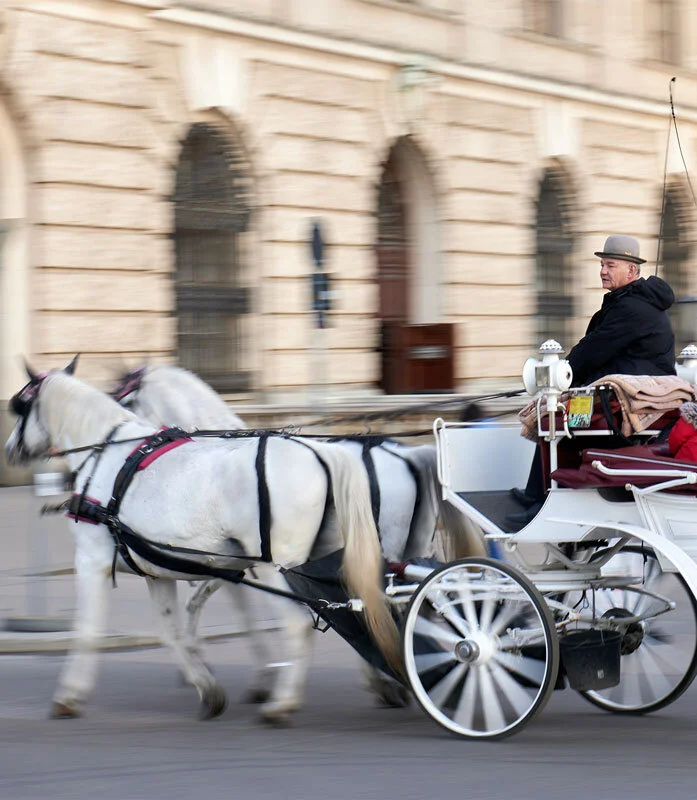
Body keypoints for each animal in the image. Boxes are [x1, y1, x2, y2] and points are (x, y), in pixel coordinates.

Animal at [5, 358, 401, 724]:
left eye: (21, 406)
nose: (9, 449)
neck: (108, 453)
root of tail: (323, 453)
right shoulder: (159, 570)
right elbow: (173, 631)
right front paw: (207, 685)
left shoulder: (92, 560)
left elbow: (88, 630)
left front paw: (69, 695)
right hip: (328, 561)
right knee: (356, 609)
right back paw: (381, 678)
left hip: (278, 568)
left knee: (300, 623)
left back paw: (283, 704)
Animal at [112, 364, 487, 705]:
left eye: (122, 399)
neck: (220, 463)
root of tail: (409, 455)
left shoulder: (240, 561)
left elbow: (222, 608)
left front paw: (236, 672)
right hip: (405, 549)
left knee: (384, 604)